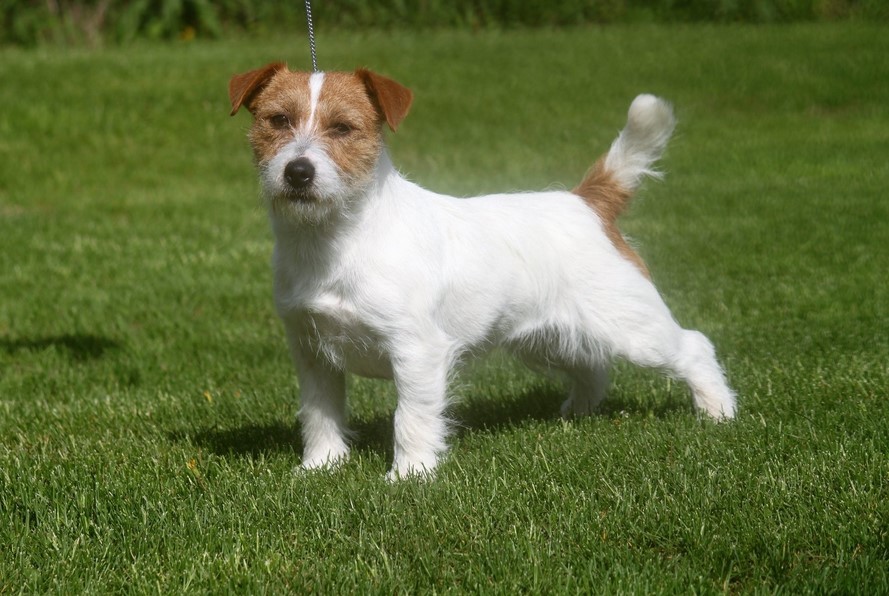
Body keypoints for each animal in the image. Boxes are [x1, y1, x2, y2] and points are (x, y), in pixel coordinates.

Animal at [227, 64, 736, 480]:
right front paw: (320, 467)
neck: (333, 241)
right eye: (277, 120)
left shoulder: (417, 351)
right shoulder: (312, 352)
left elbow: (411, 417)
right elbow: (320, 414)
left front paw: (409, 476)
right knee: (592, 366)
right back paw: (575, 413)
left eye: (342, 128)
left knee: (694, 346)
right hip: (549, 338)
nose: (298, 172)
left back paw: (719, 412)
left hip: (633, 327)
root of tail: (587, 202)